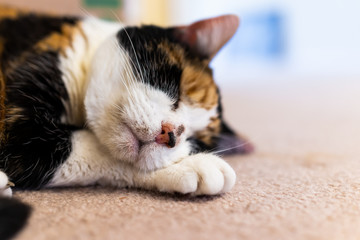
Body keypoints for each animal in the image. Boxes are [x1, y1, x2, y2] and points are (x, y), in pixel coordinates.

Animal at [0, 6, 253, 202]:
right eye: (179, 89)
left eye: (195, 141)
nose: (169, 134)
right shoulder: (21, 132)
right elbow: (94, 148)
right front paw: (195, 165)